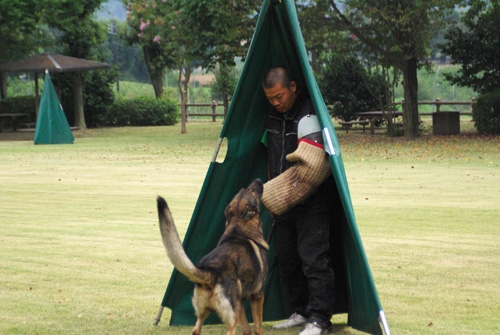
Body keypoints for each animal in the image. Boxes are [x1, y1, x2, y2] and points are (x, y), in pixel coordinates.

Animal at [158, 180, 270, 335]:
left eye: (245, 189)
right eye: (251, 191)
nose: (259, 180)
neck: (239, 222)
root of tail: (212, 271)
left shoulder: (240, 301)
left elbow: (247, 327)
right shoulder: (258, 296)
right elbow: (258, 326)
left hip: (204, 313)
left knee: (196, 329)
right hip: (232, 317)